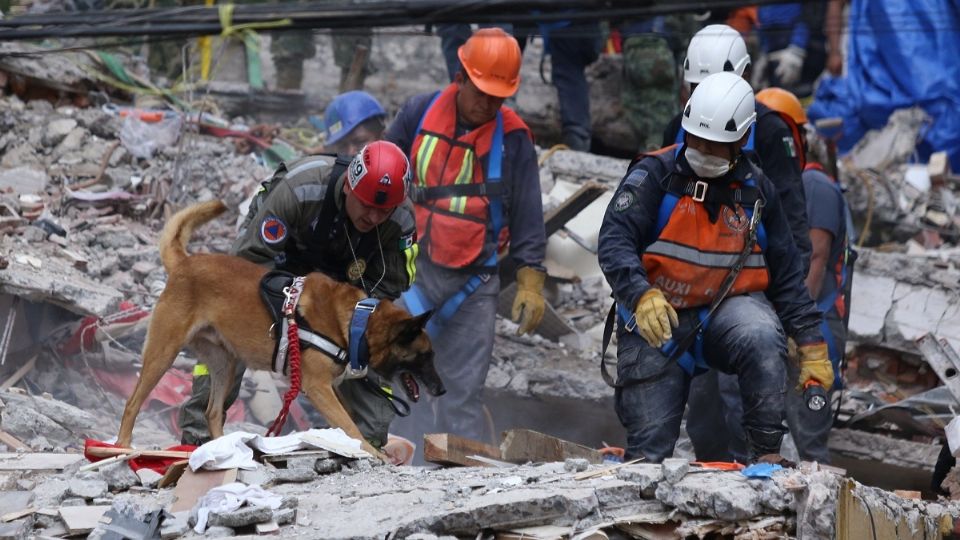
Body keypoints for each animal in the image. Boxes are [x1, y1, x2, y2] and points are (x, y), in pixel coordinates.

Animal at [115, 200, 442, 458]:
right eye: (424, 355)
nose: (442, 390)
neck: (357, 322)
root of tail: (185, 262)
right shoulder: (318, 388)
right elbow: (350, 427)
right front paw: (372, 452)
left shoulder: (331, 388)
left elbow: (348, 422)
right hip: (163, 354)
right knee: (132, 403)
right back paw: (123, 446)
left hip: (223, 363)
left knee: (212, 411)